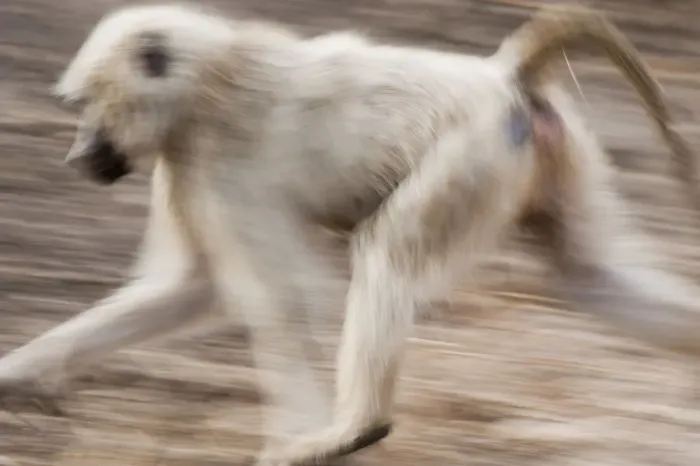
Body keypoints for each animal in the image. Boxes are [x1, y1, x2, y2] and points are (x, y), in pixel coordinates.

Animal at [0, 2, 697, 465]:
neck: (205, 77)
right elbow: (190, 289)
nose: (78, 155)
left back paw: (354, 430)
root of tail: (503, 78)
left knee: (388, 253)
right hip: (542, 161)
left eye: (89, 106)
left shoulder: (214, 157)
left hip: (471, 158)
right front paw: (19, 374)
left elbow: (275, 299)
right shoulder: (185, 163)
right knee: (590, 274)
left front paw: (297, 438)